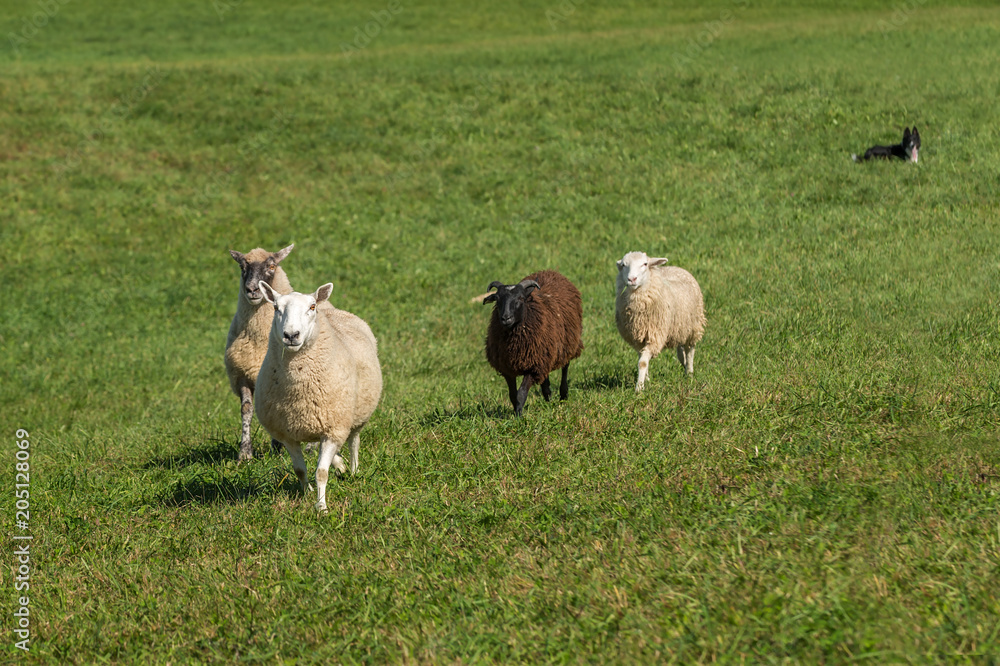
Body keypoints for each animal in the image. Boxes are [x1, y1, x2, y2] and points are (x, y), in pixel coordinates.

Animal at [225, 244, 295, 461]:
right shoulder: (242, 375)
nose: (252, 290)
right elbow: (246, 410)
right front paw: (245, 454)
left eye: (272, 266)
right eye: (242, 267)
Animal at [255, 281, 382, 512]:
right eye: (276, 308)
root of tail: (333, 310)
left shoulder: (333, 429)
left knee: (354, 442)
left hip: (354, 416)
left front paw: (321, 506)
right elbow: (300, 470)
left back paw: (353, 470)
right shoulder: (288, 435)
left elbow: (321, 472)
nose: (291, 335)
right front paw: (307, 494)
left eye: (312, 307)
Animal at [483, 270, 584, 415]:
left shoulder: (532, 367)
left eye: (520, 298)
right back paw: (548, 399)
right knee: (545, 380)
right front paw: (516, 412)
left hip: (568, 344)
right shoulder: (508, 368)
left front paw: (519, 416)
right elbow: (513, 395)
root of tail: (550, 271)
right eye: (497, 298)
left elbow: (521, 394)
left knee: (565, 368)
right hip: (545, 353)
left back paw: (563, 396)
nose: (506, 318)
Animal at [615, 251, 705, 392]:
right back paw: (683, 362)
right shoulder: (637, 339)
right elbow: (641, 359)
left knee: (690, 350)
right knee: (680, 349)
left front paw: (639, 388)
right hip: (678, 327)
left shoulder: (655, 336)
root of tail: (676, 267)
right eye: (624, 265)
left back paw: (689, 373)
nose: (632, 279)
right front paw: (646, 380)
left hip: (692, 326)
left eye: (645, 264)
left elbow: (642, 363)